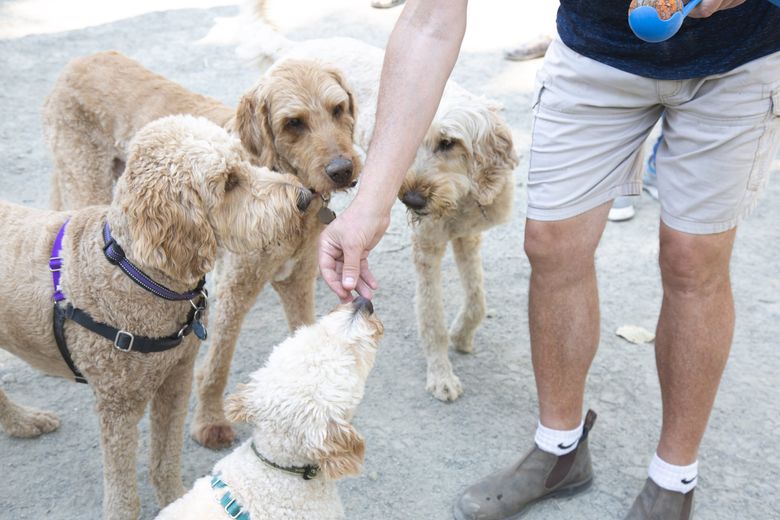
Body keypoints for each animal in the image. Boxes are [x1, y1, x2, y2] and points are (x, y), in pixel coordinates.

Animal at [0, 117, 310, 520]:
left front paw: (175, 501)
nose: (304, 198)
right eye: (229, 182)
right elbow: (123, 495)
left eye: (245, 161)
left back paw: (23, 422)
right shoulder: (118, 405)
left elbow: (165, 460)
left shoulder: (176, 380)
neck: (133, 270)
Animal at [238, 10, 516, 404]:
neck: (460, 200)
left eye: (449, 143)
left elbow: (477, 297)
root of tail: (296, 49)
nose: (411, 199)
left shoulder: (468, 237)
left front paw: (463, 334)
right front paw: (441, 374)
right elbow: (432, 317)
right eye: (411, 144)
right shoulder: (427, 247)